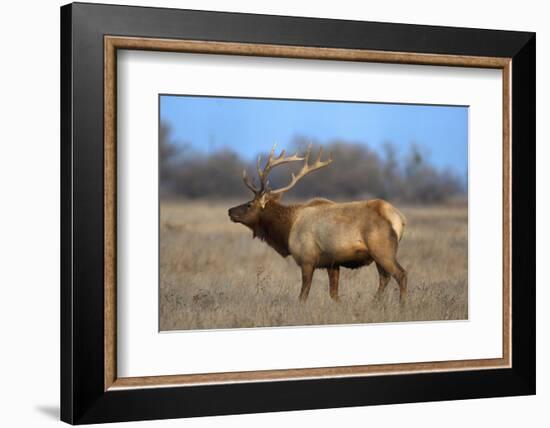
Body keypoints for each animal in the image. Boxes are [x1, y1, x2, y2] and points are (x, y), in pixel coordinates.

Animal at [229, 145, 410, 302]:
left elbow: (303, 296)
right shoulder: (333, 263)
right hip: (379, 254)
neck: (287, 229)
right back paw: (374, 303)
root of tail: (399, 219)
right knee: (385, 278)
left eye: (249, 204)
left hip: (382, 250)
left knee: (401, 274)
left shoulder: (307, 259)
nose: (230, 211)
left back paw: (402, 305)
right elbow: (334, 294)